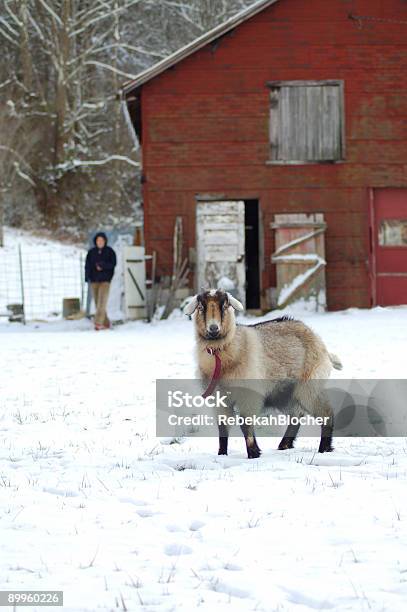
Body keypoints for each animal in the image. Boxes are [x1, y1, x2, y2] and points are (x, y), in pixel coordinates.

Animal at [186, 290, 344, 460]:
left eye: (225, 305)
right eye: (201, 307)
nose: (214, 328)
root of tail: (321, 345)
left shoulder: (249, 394)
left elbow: (245, 423)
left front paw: (253, 453)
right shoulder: (219, 399)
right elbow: (222, 427)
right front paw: (222, 454)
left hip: (309, 385)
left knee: (325, 412)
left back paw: (324, 448)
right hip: (284, 392)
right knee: (296, 414)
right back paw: (284, 445)